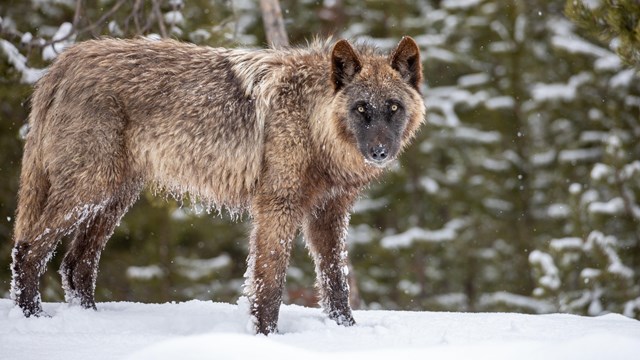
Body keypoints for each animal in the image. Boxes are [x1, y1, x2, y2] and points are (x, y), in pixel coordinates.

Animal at [11, 35, 424, 334]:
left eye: (393, 108)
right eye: (360, 109)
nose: (379, 151)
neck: (312, 122)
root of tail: (64, 61)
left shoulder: (329, 214)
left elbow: (336, 282)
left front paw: (346, 333)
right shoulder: (277, 207)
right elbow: (269, 282)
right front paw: (266, 337)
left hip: (113, 198)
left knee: (75, 265)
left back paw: (91, 323)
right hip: (90, 191)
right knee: (28, 249)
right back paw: (34, 320)